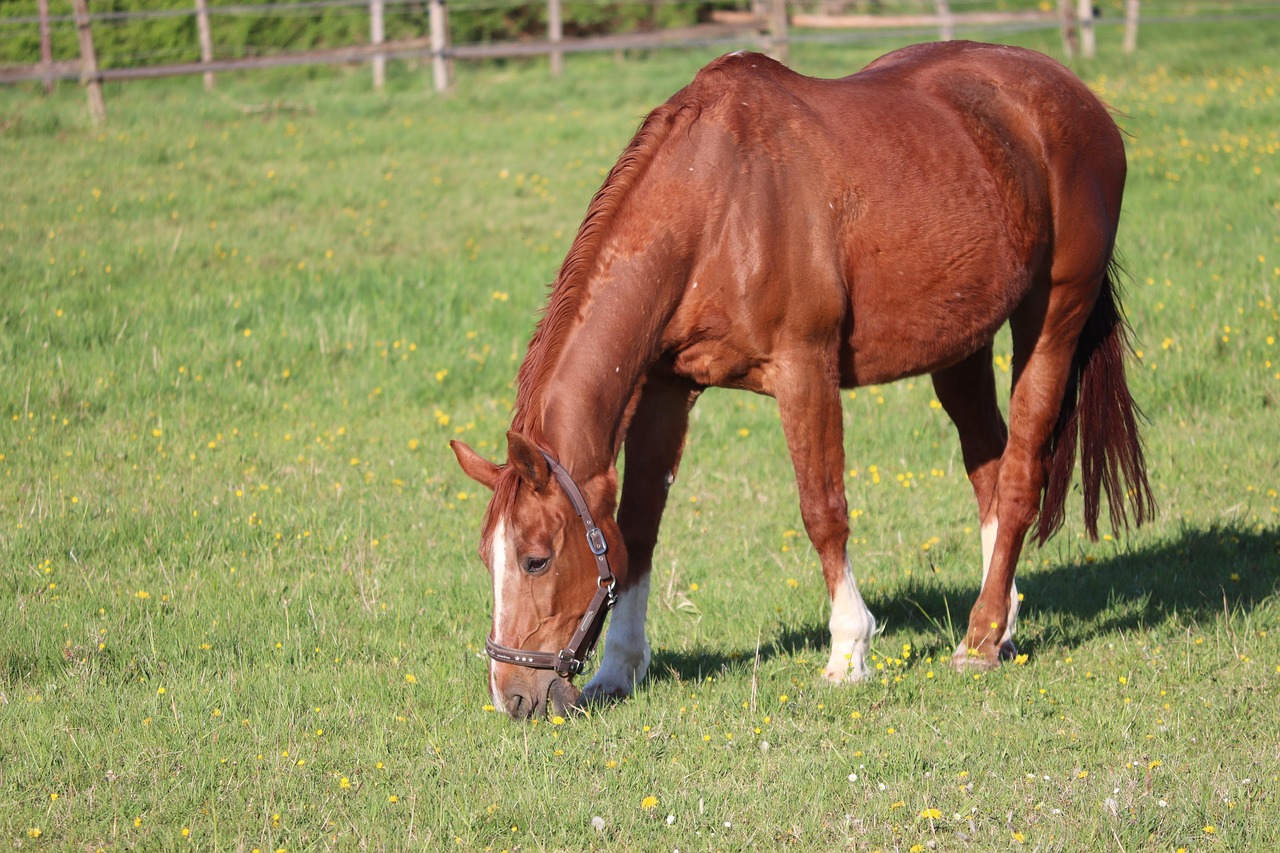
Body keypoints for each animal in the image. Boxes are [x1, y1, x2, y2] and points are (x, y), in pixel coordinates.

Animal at [451, 41, 1154, 720]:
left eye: (536, 559)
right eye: (488, 558)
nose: (512, 696)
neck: (715, 204)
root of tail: (1079, 98)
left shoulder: (805, 372)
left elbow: (823, 512)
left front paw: (848, 651)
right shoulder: (665, 390)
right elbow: (639, 525)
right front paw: (618, 670)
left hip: (1053, 319)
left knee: (1019, 475)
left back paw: (978, 641)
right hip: (961, 345)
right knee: (989, 465)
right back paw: (1001, 620)